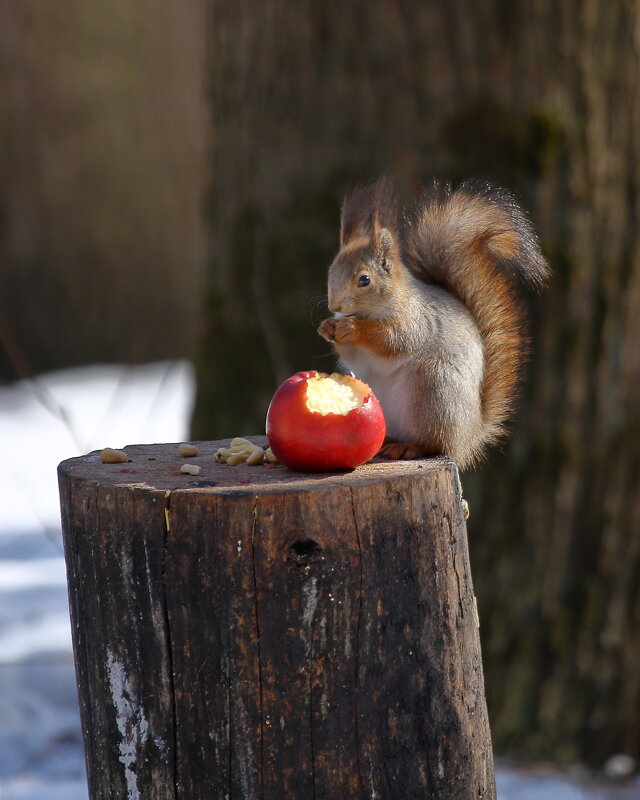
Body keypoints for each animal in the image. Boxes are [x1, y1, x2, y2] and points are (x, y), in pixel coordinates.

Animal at [318, 175, 548, 468]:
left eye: (364, 280)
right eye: (331, 272)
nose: (334, 306)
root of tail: (467, 438)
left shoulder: (417, 320)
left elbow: (394, 340)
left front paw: (354, 328)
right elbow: (353, 356)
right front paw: (327, 327)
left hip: (434, 388)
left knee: (433, 443)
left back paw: (408, 447)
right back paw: (390, 441)